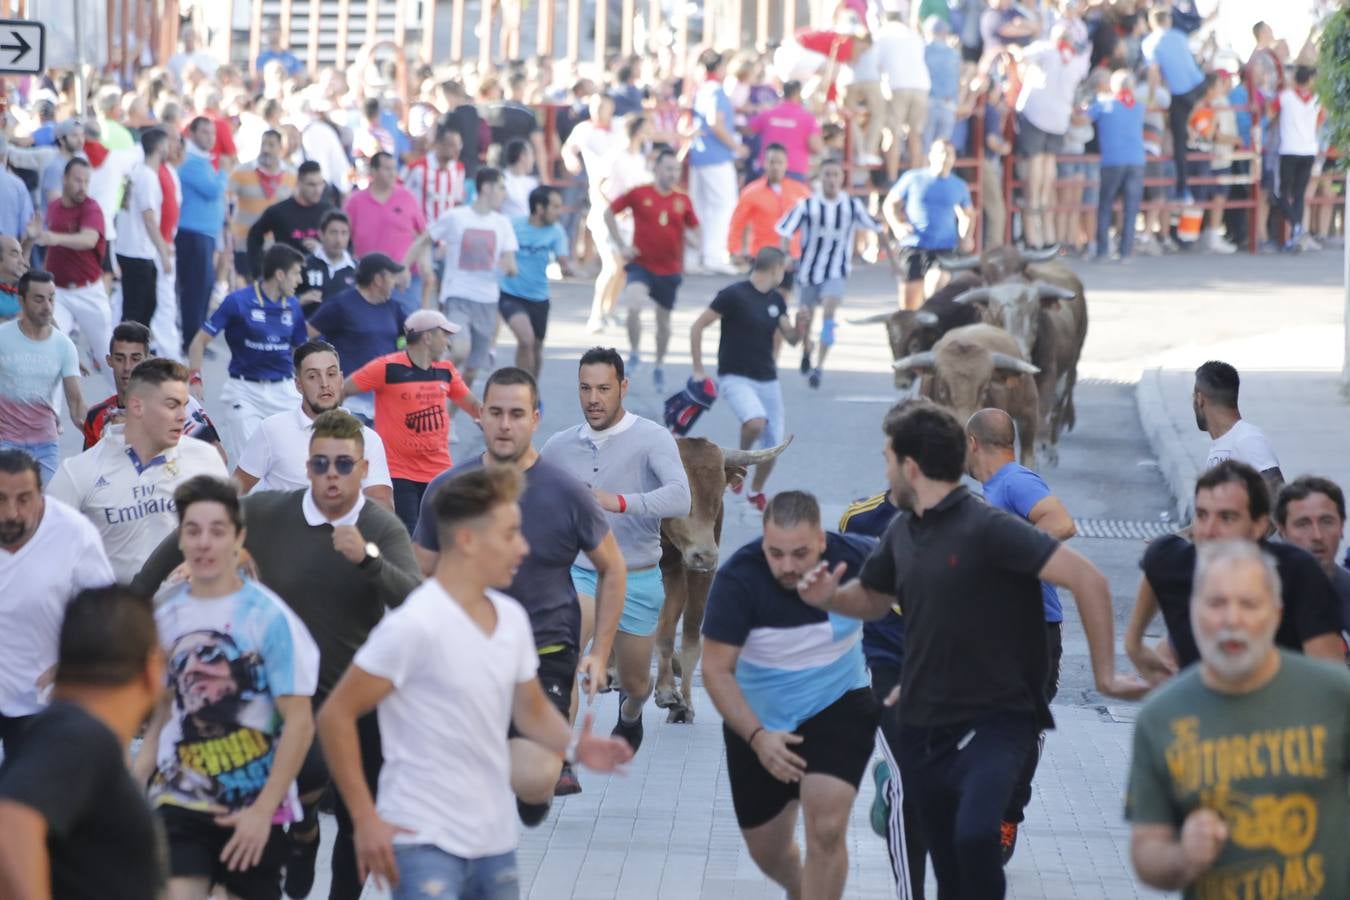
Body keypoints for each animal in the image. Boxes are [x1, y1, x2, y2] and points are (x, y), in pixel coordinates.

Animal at [653, 437, 788, 723]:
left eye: (718, 496)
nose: (705, 555)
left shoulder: (680, 570)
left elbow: (671, 629)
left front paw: (669, 693)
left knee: (688, 632)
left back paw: (682, 702)